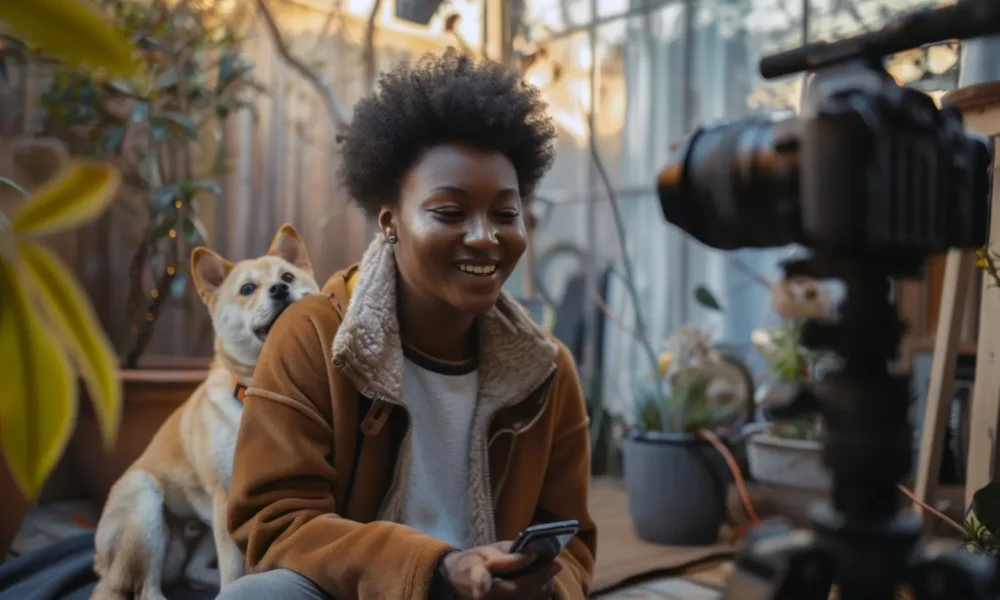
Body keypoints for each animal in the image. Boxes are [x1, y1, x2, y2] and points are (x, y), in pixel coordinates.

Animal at [91, 223, 320, 596]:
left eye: (288, 276)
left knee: (190, 570)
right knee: (146, 588)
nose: (280, 289)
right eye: (247, 289)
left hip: (197, 534)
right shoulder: (227, 499)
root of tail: (102, 567)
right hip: (146, 502)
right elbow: (235, 570)